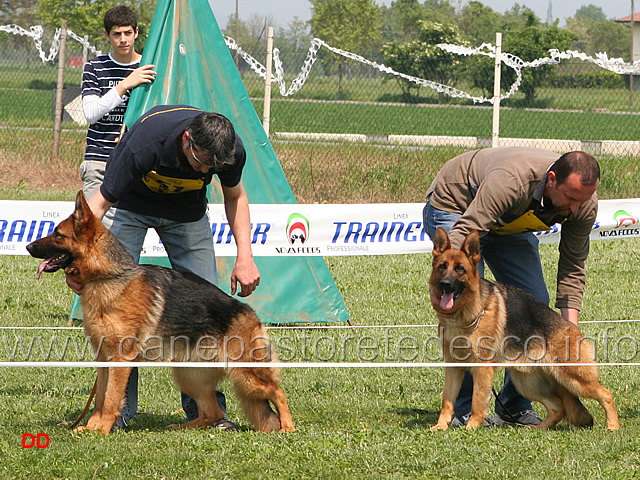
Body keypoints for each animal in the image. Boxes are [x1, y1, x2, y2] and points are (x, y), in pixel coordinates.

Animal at [25, 190, 296, 436]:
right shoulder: (103, 359)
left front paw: (101, 430)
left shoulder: (120, 360)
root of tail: (250, 313)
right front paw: (92, 427)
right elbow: (100, 398)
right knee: (212, 412)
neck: (107, 277)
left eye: (57, 234)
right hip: (189, 375)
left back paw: (287, 427)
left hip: (246, 373)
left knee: (278, 392)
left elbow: (111, 398)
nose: (28, 246)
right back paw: (182, 427)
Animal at [428, 228, 616, 432]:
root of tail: (570, 326)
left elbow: (477, 400)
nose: (445, 284)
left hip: (573, 377)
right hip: (527, 382)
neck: (464, 315)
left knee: (605, 394)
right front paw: (440, 426)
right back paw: (538, 428)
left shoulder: (482, 368)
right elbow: (447, 401)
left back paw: (613, 426)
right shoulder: (453, 366)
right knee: (558, 407)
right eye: (442, 266)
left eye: (459, 269)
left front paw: (472, 427)